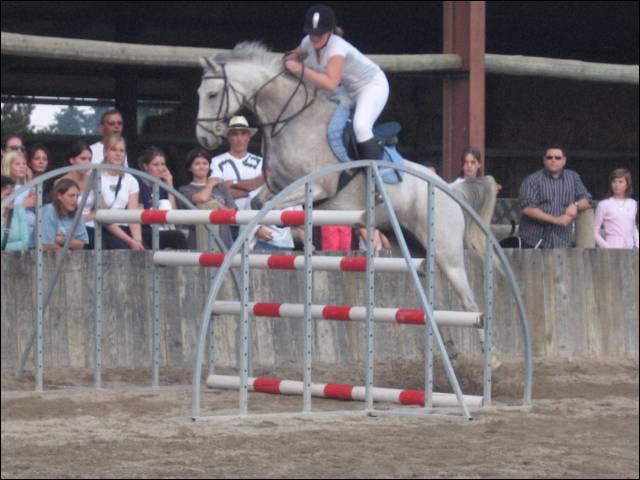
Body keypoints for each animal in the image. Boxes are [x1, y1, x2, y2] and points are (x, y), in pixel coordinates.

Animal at [196, 42, 497, 314]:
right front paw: (251, 242)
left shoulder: (317, 187)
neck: (292, 121)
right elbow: (258, 206)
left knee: (470, 304)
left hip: (447, 252)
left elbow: (270, 207)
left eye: (212, 94)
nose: (204, 139)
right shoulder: (277, 186)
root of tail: (452, 190)